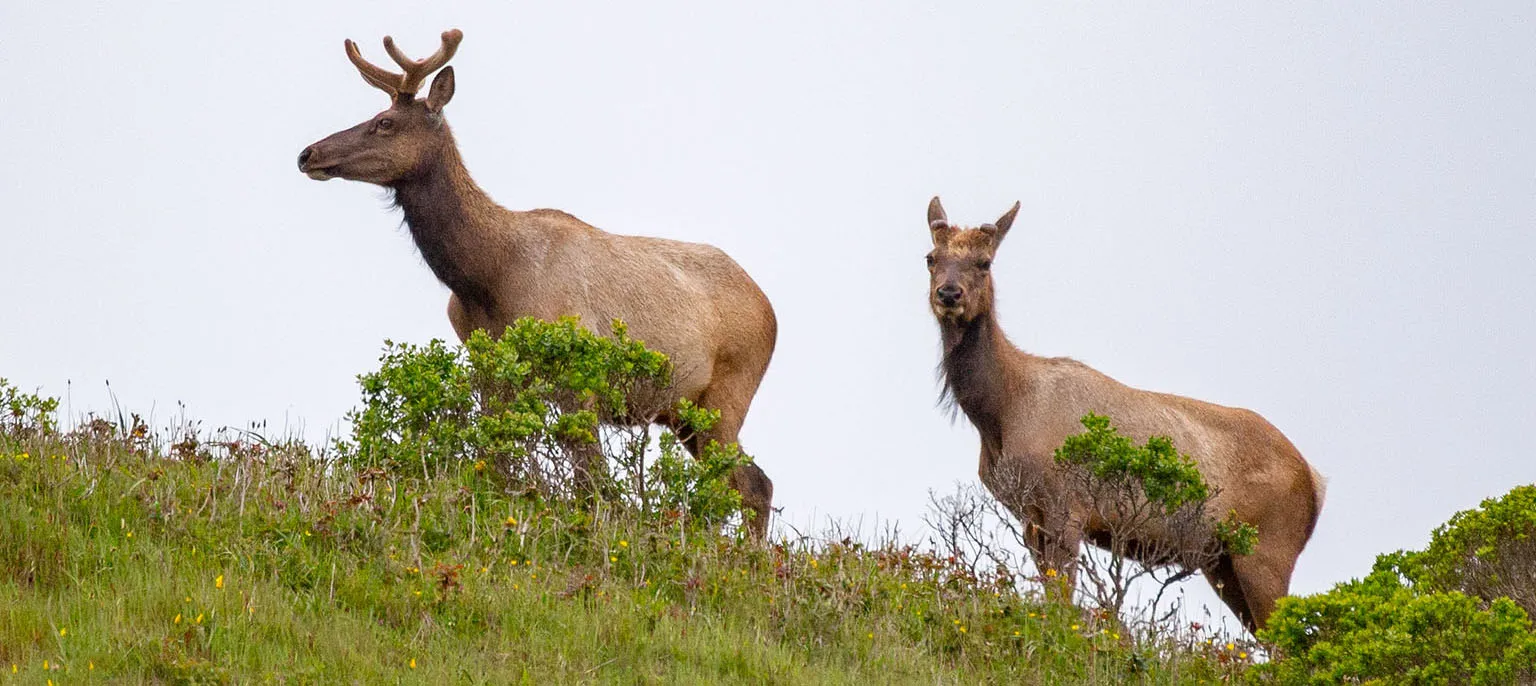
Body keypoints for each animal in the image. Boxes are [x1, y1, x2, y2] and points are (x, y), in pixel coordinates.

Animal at [299, 30, 780, 537]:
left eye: (385, 122)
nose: (308, 154)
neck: (485, 276)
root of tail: (771, 311)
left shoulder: (579, 375)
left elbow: (592, 483)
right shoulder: (491, 370)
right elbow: (496, 463)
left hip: (728, 393)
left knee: (751, 484)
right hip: (682, 414)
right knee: (748, 482)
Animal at [915, 196, 1327, 632]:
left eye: (985, 262)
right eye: (931, 257)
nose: (948, 293)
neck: (1001, 414)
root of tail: (1315, 483)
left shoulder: (1066, 503)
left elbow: (1063, 596)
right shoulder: (1031, 515)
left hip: (1268, 549)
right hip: (1222, 563)